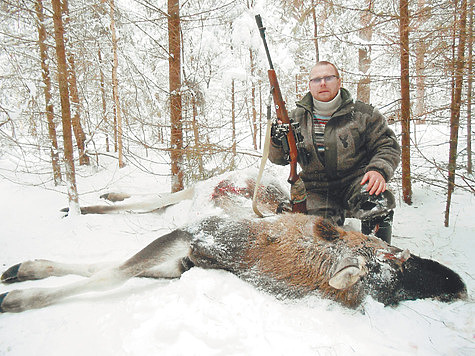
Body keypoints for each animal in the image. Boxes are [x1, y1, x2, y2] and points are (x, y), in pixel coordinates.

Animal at [0, 170, 468, 312]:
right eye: (391, 258)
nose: (456, 281)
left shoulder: (179, 261)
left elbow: (101, 269)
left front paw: (25, 271)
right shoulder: (189, 235)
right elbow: (106, 275)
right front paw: (19, 299)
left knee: (160, 200)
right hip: (201, 187)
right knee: (159, 196)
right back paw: (90, 203)